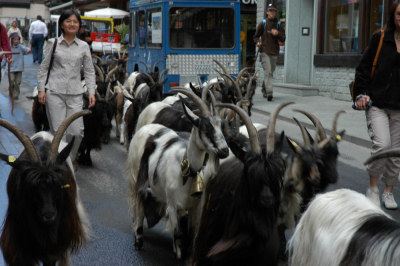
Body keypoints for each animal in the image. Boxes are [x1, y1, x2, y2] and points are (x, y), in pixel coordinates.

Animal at [128, 88, 228, 260]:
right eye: (204, 128)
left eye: (221, 126)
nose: (225, 150)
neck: (187, 168)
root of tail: (146, 128)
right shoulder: (173, 204)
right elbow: (178, 233)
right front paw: (179, 253)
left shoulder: (195, 208)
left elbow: (192, 234)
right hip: (136, 176)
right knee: (139, 204)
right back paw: (139, 239)